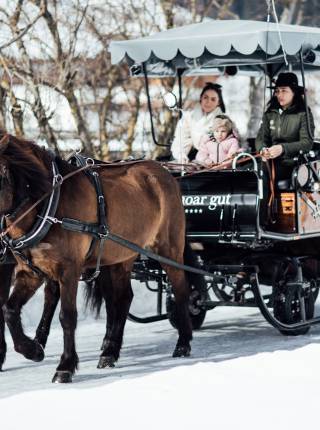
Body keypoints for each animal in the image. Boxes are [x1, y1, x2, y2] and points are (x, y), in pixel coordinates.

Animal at [0, 134, 191, 382]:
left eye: (1, 173)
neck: (47, 205)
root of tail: (164, 172)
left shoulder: (69, 270)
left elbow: (67, 316)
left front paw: (65, 366)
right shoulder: (30, 272)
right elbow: (9, 310)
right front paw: (32, 350)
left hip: (168, 249)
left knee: (180, 289)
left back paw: (183, 343)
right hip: (122, 255)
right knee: (123, 298)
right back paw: (109, 352)